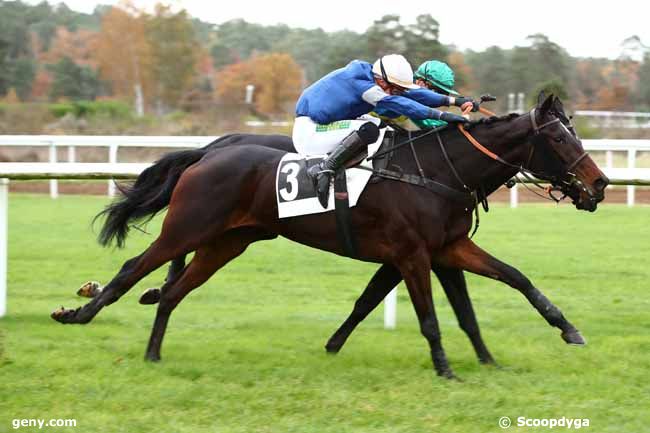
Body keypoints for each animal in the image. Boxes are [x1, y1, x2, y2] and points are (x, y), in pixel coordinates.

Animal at [52, 93, 608, 376]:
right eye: (561, 139)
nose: (600, 184)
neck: (436, 170)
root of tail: (206, 155)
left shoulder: (448, 248)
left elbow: (510, 282)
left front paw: (559, 331)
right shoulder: (413, 254)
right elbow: (430, 318)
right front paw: (445, 368)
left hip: (226, 242)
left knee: (173, 291)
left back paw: (152, 352)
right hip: (186, 229)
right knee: (133, 270)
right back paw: (78, 313)